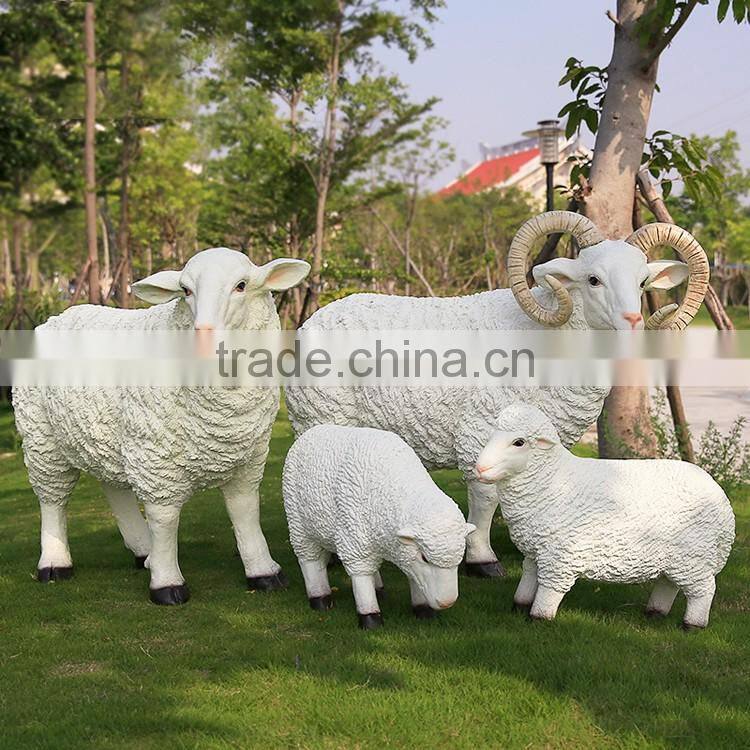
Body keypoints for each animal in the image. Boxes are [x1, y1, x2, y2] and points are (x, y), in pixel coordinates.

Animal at [13, 248, 310, 605]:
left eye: (241, 285)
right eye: (185, 290)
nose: (204, 340)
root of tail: (57, 316)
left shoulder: (248, 458)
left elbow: (246, 511)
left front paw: (264, 572)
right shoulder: (156, 459)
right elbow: (165, 519)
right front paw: (167, 584)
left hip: (104, 436)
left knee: (114, 490)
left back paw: (144, 553)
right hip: (42, 438)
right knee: (52, 500)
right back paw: (55, 564)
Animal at [282, 424, 476, 629]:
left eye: (460, 557)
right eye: (424, 557)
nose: (447, 602)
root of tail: (312, 431)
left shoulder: (400, 550)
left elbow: (414, 576)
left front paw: (423, 611)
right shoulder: (353, 541)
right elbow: (360, 577)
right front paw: (370, 619)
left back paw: (379, 590)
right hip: (298, 525)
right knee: (310, 560)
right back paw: (320, 598)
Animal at [286, 211, 710, 578]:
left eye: (642, 283)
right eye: (593, 279)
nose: (634, 321)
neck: (546, 339)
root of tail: (314, 318)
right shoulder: (481, 431)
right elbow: (486, 497)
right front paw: (482, 560)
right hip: (321, 417)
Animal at [474, 403, 735, 629]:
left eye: (519, 442)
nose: (479, 468)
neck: (552, 479)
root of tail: (723, 502)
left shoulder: (560, 556)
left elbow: (549, 589)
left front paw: (539, 618)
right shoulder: (535, 551)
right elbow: (528, 578)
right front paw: (518, 606)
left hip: (695, 555)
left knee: (704, 590)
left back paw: (692, 625)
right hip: (678, 556)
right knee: (668, 584)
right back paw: (654, 612)